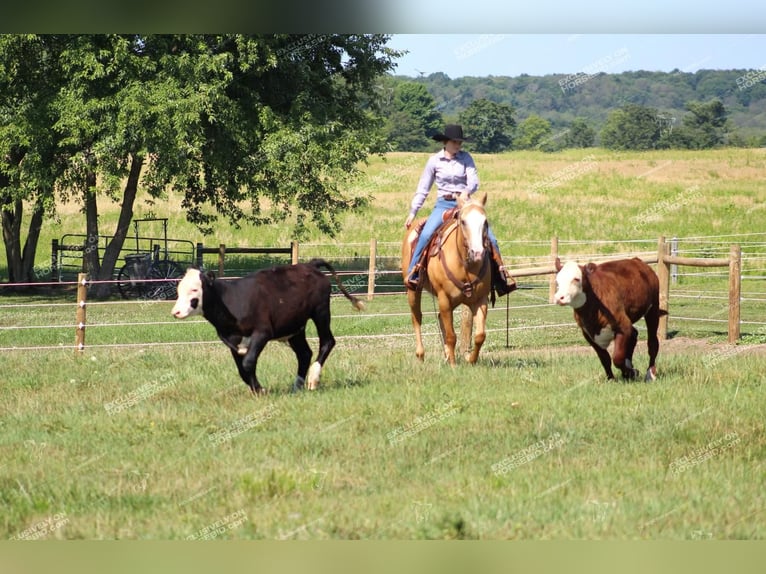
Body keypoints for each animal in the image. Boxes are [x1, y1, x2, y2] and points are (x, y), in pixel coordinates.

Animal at [172, 260, 364, 396]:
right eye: (178, 289)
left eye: (194, 290)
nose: (176, 312)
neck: (231, 300)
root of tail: (309, 264)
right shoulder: (232, 342)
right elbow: (242, 369)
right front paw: (257, 389)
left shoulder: (262, 332)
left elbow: (248, 362)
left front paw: (260, 390)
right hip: (295, 327)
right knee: (304, 353)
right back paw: (297, 386)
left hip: (321, 312)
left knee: (327, 342)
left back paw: (313, 379)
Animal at [402, 191, 492, 366]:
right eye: (463, 221)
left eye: (485, 222)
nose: (477, 253)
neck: (464, 265)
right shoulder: (444, 298)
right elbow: (451, 336)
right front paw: (453, 365)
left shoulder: (481, 300)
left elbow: (480, 335)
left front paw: (470, 360)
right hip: (413, 291)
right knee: (417, 317)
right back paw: (421, 354)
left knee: (439, 318)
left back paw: (446, 355)